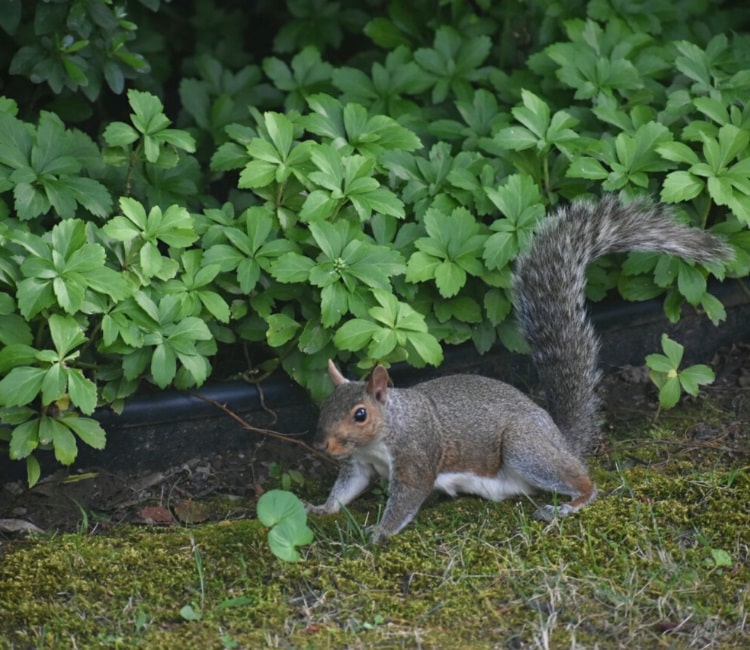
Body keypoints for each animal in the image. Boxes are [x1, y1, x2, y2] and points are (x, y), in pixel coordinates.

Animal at [306, 194, 736, 540]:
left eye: (360, 414)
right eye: (324, 407)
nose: (322, 445)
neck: (386, 430)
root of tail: (562, 441)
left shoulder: (417, 454)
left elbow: (406, 498)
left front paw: (379, 531)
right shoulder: (361, 464)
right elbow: (347, 487)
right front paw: (321, 508)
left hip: (524, 447)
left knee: (583, 480)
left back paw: (569, 504)